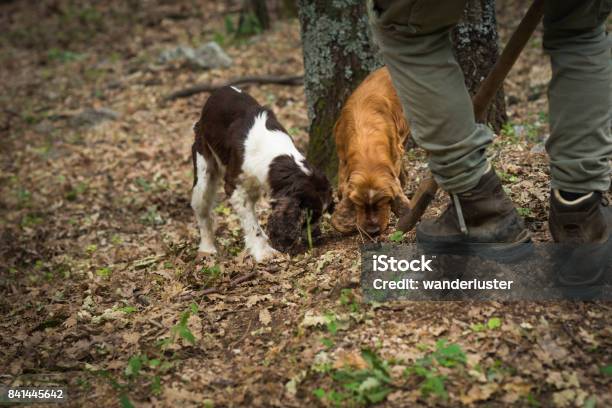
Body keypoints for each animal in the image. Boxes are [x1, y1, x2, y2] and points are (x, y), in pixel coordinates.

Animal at [192, 86, 332, 262]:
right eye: (309, 216)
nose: (318, 237)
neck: (272, 152)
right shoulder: (234, 187)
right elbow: (252, 224)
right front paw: (264, 252)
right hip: (203, 172)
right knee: (202, 211)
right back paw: (207, 249)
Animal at [332, 67, 414, 236]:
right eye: (359, 204)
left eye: (384, 201)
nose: (373, 231)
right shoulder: (342, 157)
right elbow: (342, 186)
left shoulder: (395, 152)